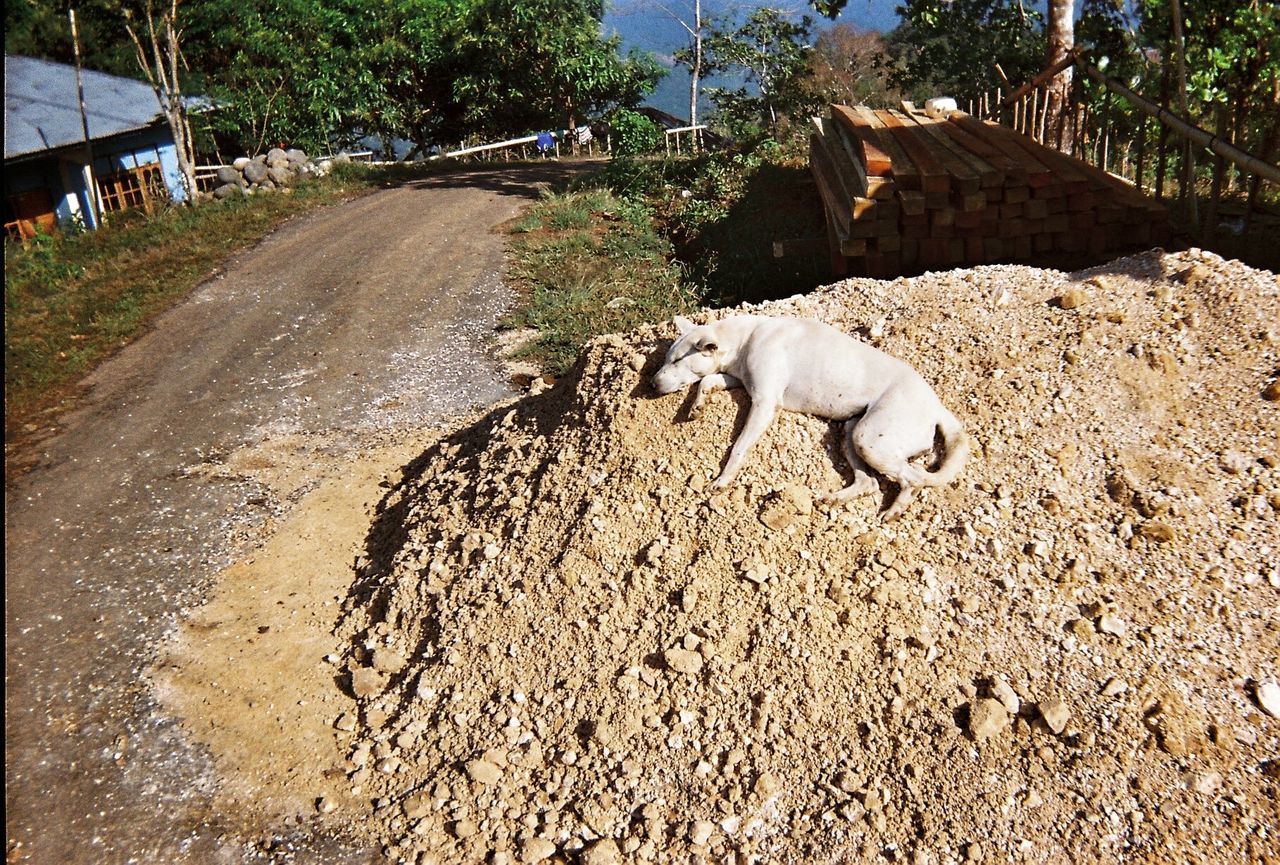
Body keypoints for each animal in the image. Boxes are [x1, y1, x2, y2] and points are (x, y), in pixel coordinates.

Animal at [650, 317, 967, 519]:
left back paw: (894, 511)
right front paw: (697, 406)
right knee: (869, 483)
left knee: (914, 479)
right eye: (666, 359)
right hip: (851, 430)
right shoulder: (738, 379)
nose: (651, 384)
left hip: (870, 437)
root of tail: (938, 407)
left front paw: (723, 479)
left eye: (676, 360)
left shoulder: (765, 402)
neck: (745, 337)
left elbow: (739, 447)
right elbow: (708, 380)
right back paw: (833, 498)